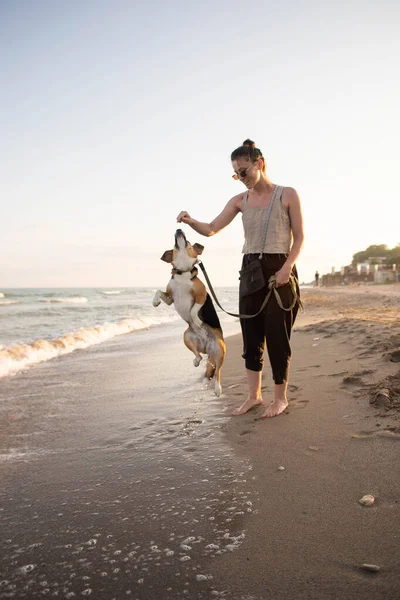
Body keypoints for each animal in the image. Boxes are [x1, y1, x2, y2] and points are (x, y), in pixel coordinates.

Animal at [152, 229, 225, 394]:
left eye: (189, 242)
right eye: (174, 245)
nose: (179, 230)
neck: (183, 272)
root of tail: (206, 348)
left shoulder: (201, 296)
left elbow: (193, 310)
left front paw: (197, 320)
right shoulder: (170, 297)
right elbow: (158, 291)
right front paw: (155, 302)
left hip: (220, 349)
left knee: (218, 371)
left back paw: (218, 389)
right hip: (186, 336)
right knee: (198, 355)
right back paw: (196, 360)